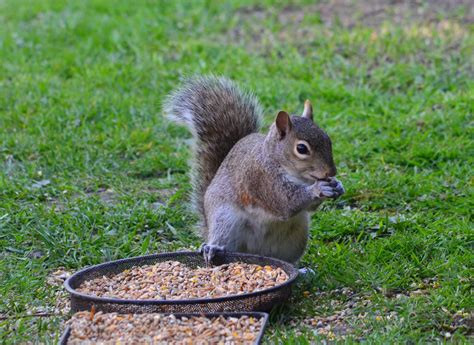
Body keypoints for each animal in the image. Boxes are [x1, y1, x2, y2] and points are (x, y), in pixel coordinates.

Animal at [164, 75, 344, 264]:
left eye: (328, 139)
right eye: (301, 149)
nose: (331, 172)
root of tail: (257, 253)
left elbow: (310, 208)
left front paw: (338, 185)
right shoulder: (261, 178)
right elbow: (286, 202)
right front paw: (319, 188)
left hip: (297, 236)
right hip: (225, 220)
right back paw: (213, 247)